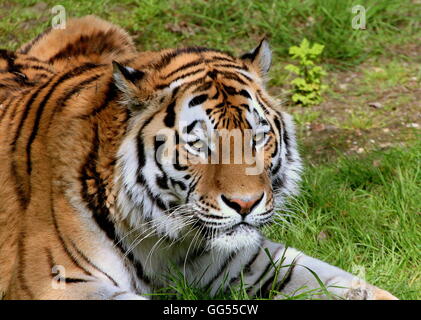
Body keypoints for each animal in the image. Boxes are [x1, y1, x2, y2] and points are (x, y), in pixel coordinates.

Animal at [0, 15, 398, 300]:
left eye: (258, 138)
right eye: (198, 144)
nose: (245, 204)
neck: (166, 241)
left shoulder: (251, 261)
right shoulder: (57, 282)